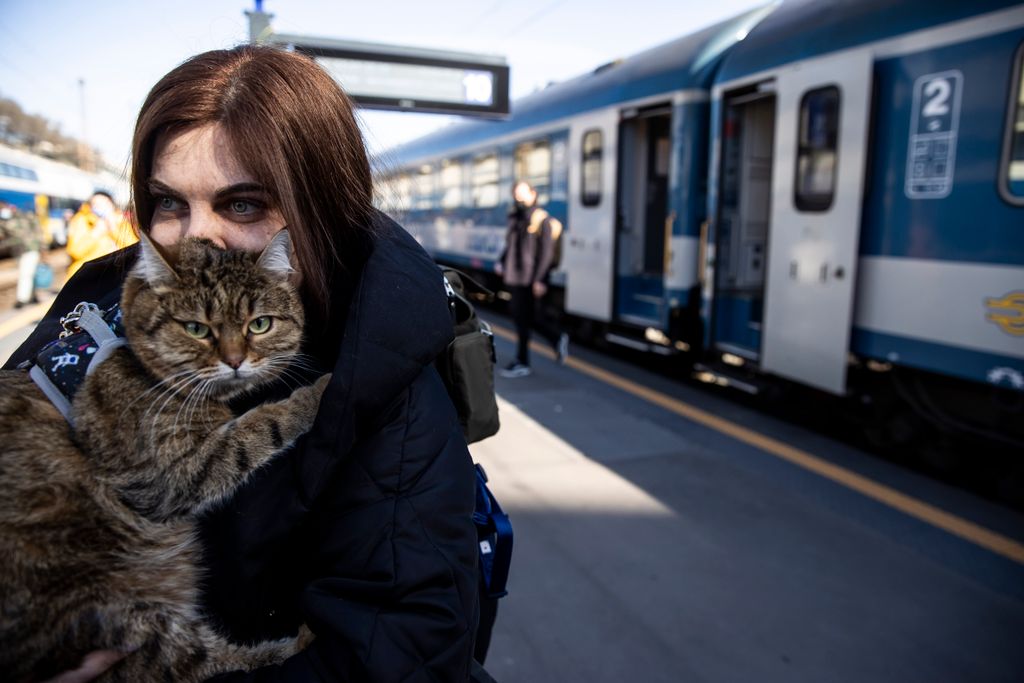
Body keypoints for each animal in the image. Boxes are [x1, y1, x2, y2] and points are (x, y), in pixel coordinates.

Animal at [0, 231, 327, 683]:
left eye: (259, 324)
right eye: (196, 329)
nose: (235, 360)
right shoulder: (164, 477)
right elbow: (259, 426)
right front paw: (315, 394)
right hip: (124, 615)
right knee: (199, 664)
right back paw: (295, 643)